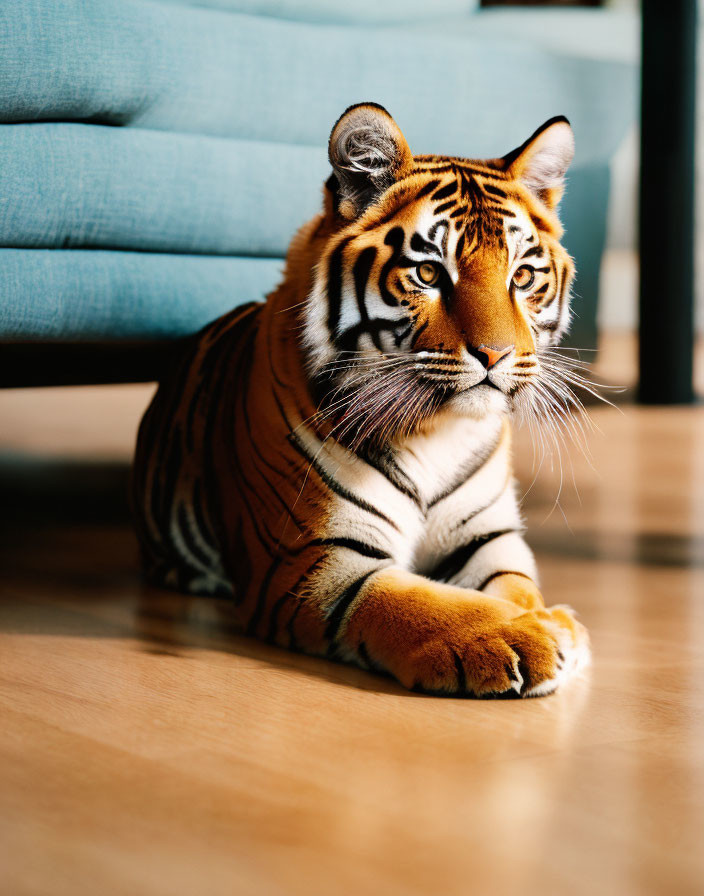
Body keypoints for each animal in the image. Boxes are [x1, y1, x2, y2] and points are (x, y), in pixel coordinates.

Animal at [131, 101, 588, 696]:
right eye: (428, 272)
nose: (497, 355)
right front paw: (524, 636)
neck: (438, 431)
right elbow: (419, 603)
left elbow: (517, 585)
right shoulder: (310, 561)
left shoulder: (490, 540)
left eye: (524, 276)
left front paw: (553, 620)